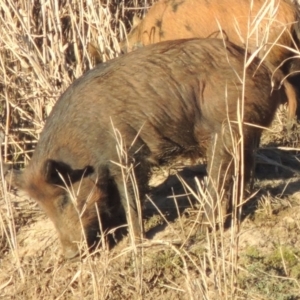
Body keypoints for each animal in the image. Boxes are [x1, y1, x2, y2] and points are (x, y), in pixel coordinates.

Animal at [4, 38, 286, 258]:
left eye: (62, 198)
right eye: (42, 205)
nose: (70, 255)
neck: (82, 145)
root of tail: (267, 73)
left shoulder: (127, 156)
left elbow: (131, 198)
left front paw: (135, 244)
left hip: (226, 130)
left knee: (220, 180)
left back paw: (204, 227)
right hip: (244, 134)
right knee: (244, 170)